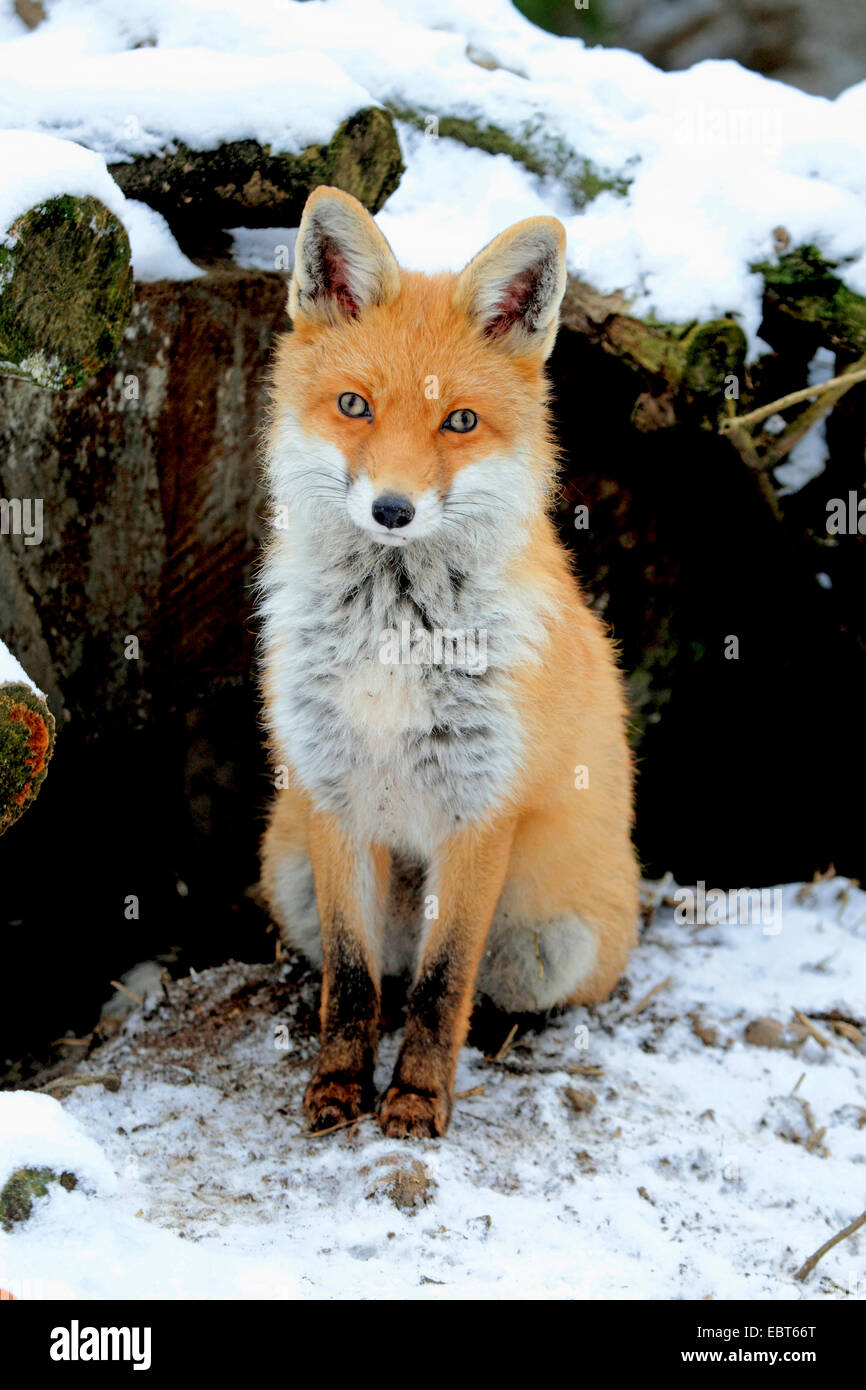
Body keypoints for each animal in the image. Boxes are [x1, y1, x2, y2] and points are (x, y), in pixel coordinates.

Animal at [257, 187, 636, 1139]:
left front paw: (419, 1099)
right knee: (372, 967)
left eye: (459, 420)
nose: (392, 510)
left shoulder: (479, 809)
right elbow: (354, 981)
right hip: (288, 874)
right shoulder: (333, 792)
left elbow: (442, 985)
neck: (394, 629)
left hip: (554, 940)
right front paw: (338, 1087)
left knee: (496, 990)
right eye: (355, 406)